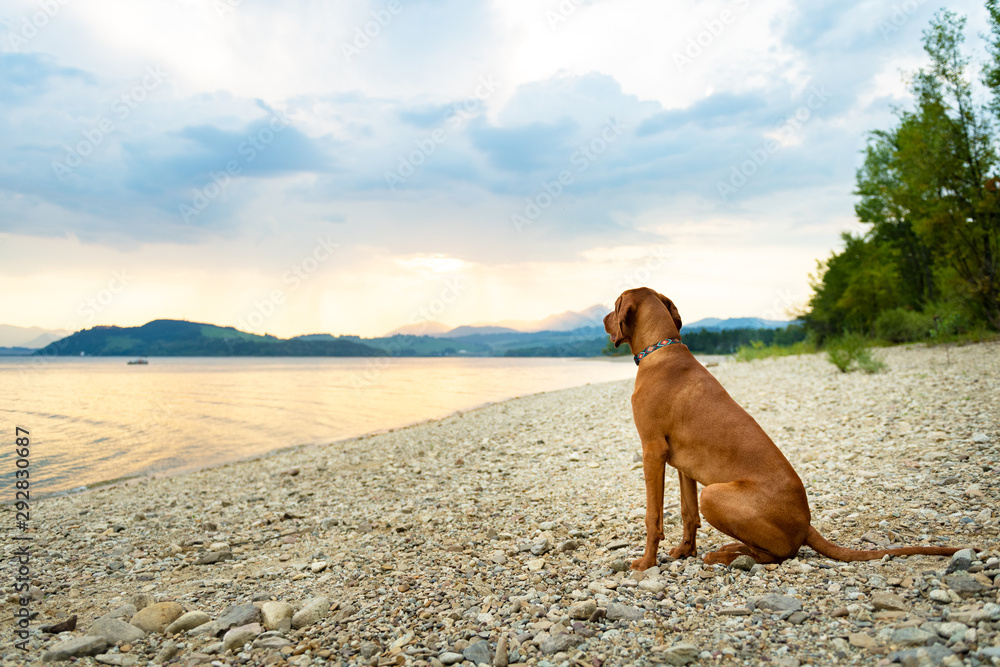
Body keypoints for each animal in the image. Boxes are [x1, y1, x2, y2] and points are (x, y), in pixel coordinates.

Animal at [604, 288, 964, 568]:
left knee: (777, 555)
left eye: (615, 303)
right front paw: (683, 551)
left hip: (715, 494)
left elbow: (653, 517)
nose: (605, 320)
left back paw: (727, 555)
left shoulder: (652, 451)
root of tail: (806, 524)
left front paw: (646, 563)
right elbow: (687, 513)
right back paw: (729, 549)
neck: (661, 349)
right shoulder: (681, 463)